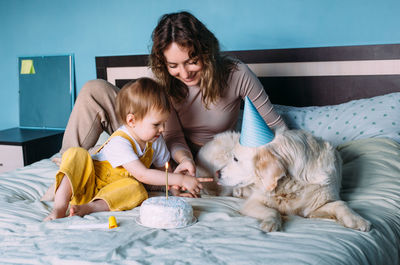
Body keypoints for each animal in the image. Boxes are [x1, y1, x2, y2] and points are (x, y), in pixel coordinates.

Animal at [198, 129, 372, 232]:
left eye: (236, 159)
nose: (218, 173)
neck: (291, 184)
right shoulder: (252, 202)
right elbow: (273, 211)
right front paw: (271, 222)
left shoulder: (313, 207)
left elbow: (340, 204)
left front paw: (358, 220)